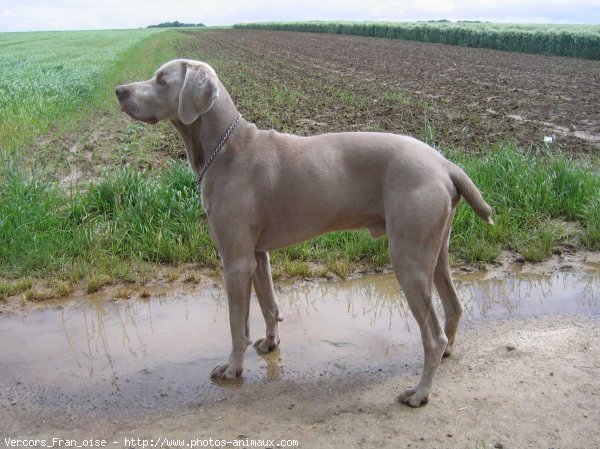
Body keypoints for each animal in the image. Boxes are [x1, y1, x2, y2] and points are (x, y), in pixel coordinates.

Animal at [117, 58, 492, 406]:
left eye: (161, 80)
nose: (119, 90)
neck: (225, 148)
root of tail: (444, 163)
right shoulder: (257, 254)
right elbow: (268, 304)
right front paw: (270, 343)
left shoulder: (235, 261)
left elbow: (237, 324)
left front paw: (232, 367)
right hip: (435, 247)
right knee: (454, 306)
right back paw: (446, 356)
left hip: (408, 256)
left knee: (432, 335)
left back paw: (420, 392)